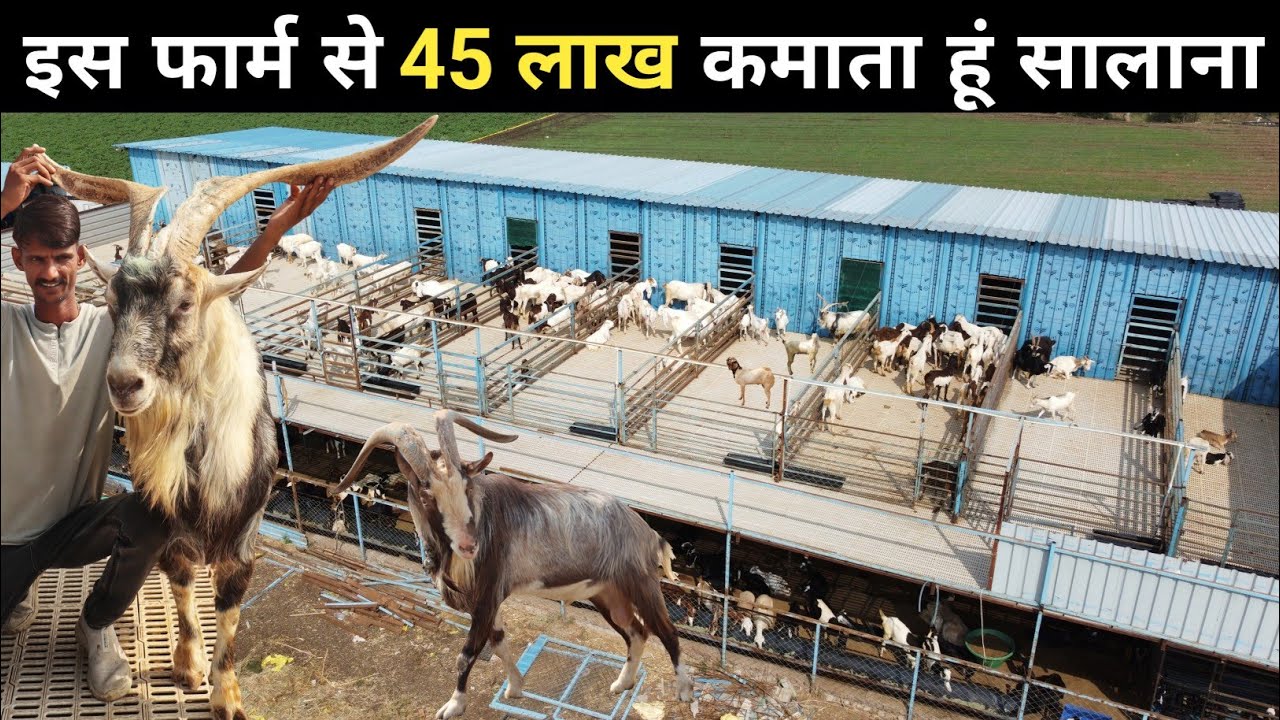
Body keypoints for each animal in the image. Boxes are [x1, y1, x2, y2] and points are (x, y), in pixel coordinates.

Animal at [330, 413, 694, 718]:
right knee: (636, 631)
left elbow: (468, 652)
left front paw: (454, 705)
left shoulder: (488, 593)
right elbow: (500, 642)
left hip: (640, 583)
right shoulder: (485, 603)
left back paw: (685, 693)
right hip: (606, 594)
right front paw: (516, 688)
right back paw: (622, 684)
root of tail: (648, 533)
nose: (469, 545)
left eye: (466, 486)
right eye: (425, 494)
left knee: (667, 631)